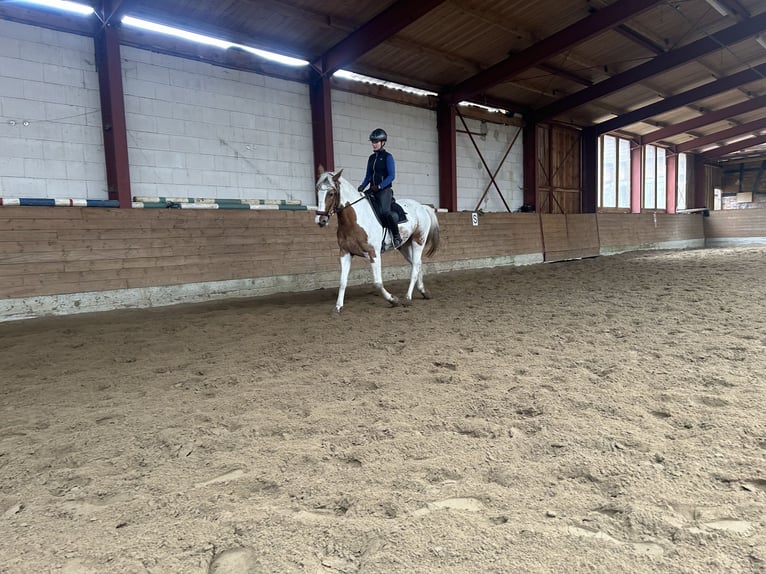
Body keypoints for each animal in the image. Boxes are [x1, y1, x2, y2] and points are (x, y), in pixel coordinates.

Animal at [316, 165, 440, 316]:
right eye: (317, 190)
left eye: (331, 193)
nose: (320, 220)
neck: (355, 219)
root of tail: (422, 207)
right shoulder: (345, 252)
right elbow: (342, 281)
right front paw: (338, 307)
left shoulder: (373, 253)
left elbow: (377, 283)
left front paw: (393, 300)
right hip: (404, 246)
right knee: (417, 264)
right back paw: (423, 291)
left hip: (418, 241)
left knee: (416, 265)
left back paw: (408, 298)